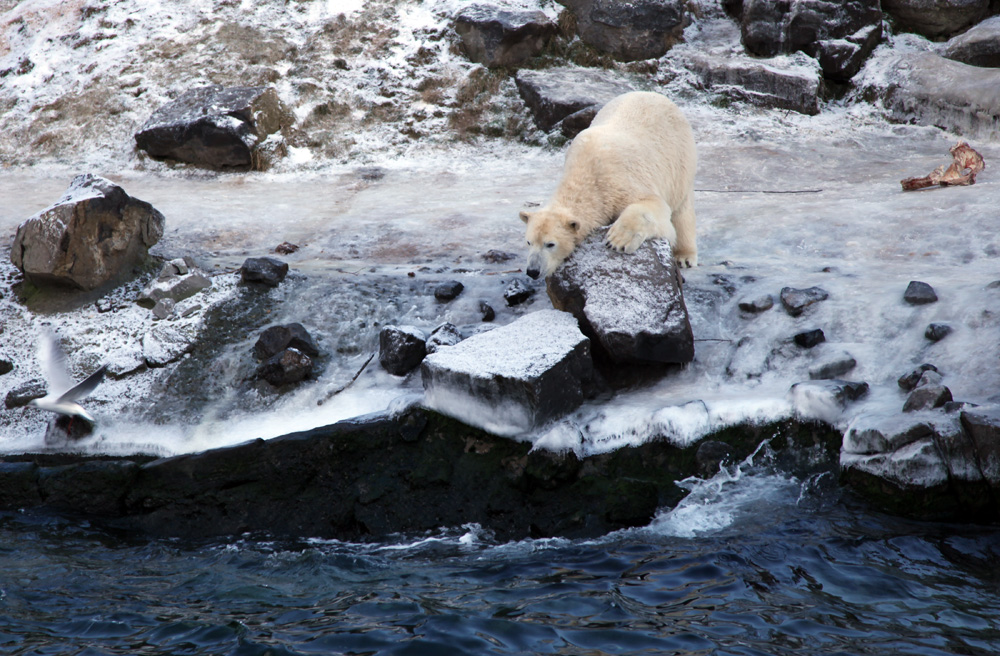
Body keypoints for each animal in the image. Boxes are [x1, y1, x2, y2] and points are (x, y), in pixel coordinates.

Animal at [524, 91, 696, 278]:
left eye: (550, 244)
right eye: (529, 242)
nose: (532, 271)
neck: (585, 174)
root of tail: (654, 94)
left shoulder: (618, 182)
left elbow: (653, 205)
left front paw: (618, 240)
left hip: (678, 158)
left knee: (681, 208)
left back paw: (684, 256)